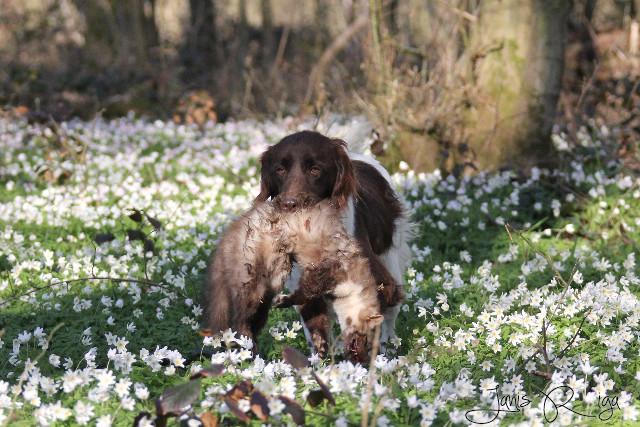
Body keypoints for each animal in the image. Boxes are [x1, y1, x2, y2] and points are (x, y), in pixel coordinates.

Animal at [255, 130, 411, 353]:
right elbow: (317, 333)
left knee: (392, 310)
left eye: (315, 169)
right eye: (279, 169)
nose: (289, 204)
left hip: (390, 256)